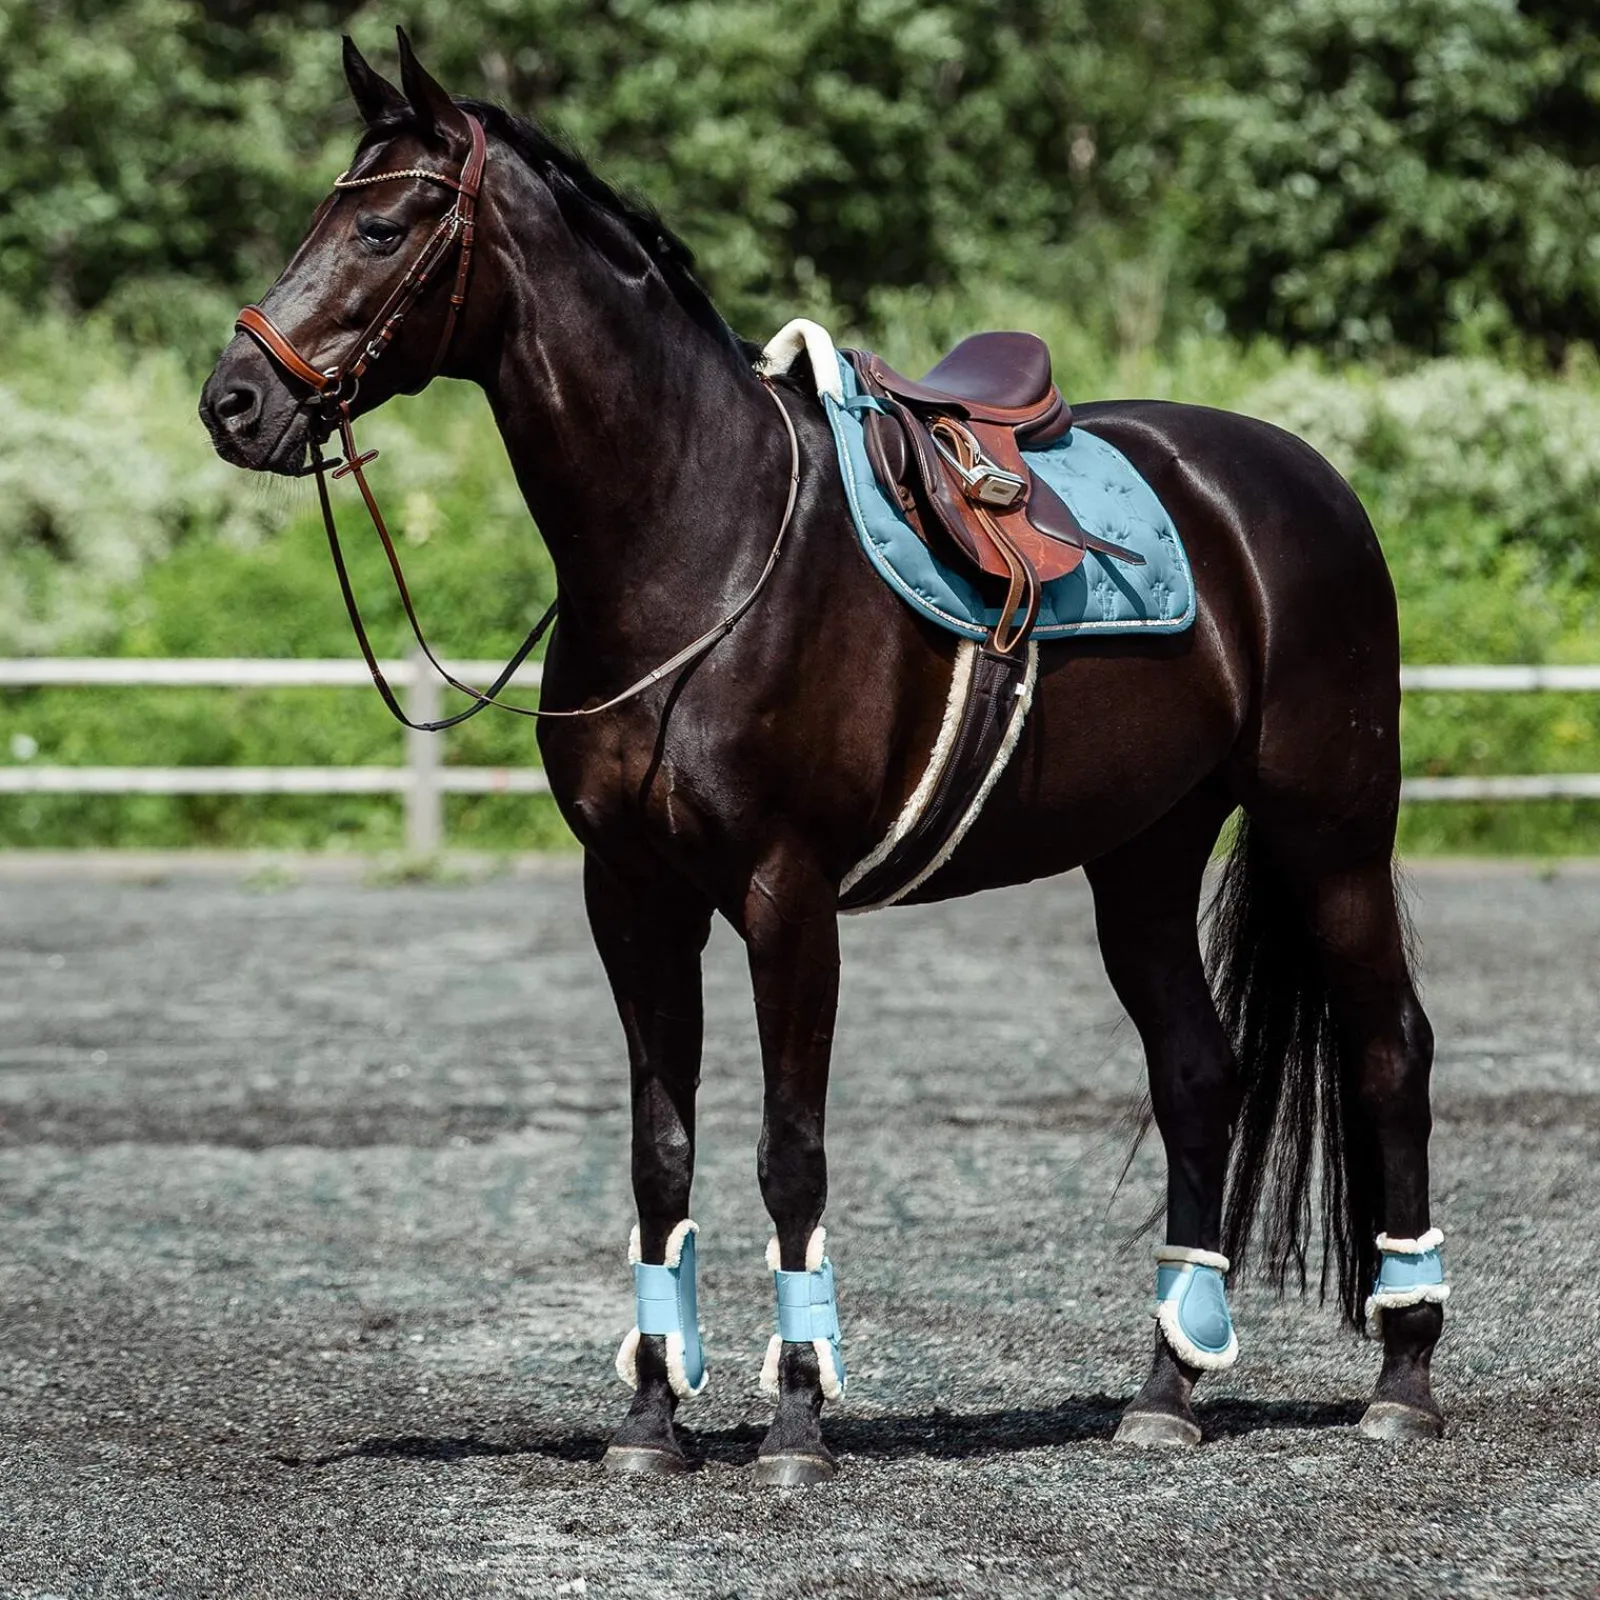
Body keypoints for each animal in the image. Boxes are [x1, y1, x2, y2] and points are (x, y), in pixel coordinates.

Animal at [199, 31, 1448, 1485]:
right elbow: (661, 1152)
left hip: (1329, 829)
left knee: (1392, 1053)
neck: (698, 537)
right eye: (322, 214)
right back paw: (1164, 1391)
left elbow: (789, 1150)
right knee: (1200, 1076)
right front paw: (650, 1423)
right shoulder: (633, 897)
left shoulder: (787, 898)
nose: (234, 401)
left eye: (384, 227)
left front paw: (796, 1417)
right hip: (1142, 854)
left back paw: (1403, 1376)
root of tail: (1306, 481)